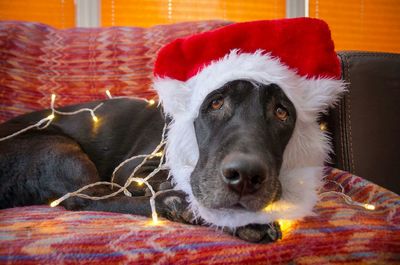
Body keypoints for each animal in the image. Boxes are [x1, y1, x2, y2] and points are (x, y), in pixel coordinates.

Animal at [0, 80, 294, 241]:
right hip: (58, 147)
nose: (247, 173)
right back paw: (174, 202)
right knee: (87, 200)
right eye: (217, 105)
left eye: (281, 113)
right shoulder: (134, 168)